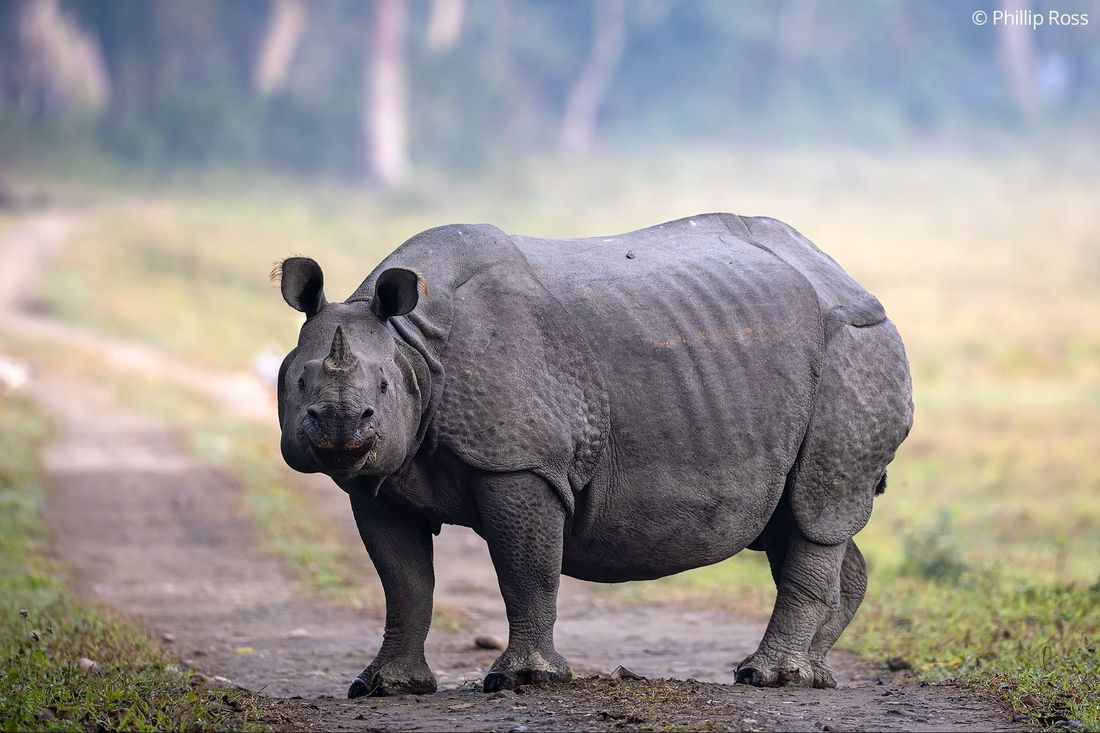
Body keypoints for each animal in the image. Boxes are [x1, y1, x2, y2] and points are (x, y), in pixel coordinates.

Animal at [274, 213, 913, 697]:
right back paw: (815, 673)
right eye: (298, 383)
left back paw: (770, 678)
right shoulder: (379, 477)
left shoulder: (524, 463)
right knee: (794, 519)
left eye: (383, 390)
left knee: (818, 508)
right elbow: (402, 581)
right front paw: (386, 687)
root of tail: (847, 276)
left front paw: (525, 681)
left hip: (856, 347)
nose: (340, 428)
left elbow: (526, 569)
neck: (412, 344)